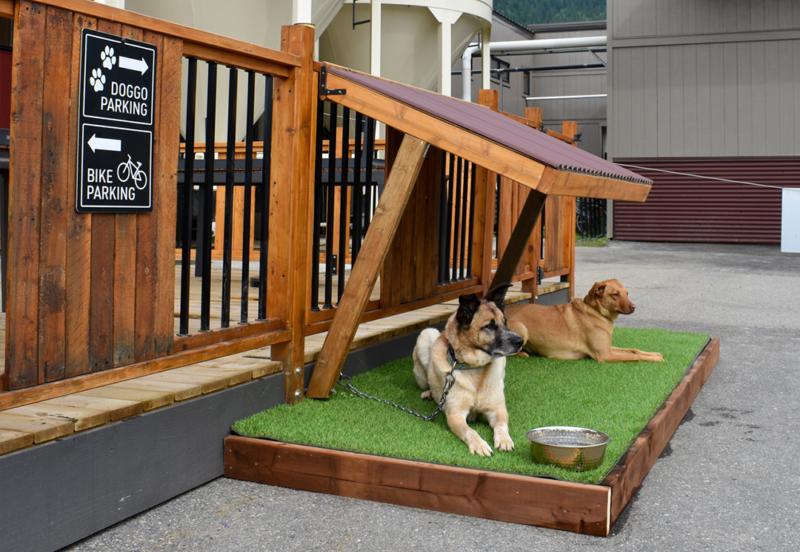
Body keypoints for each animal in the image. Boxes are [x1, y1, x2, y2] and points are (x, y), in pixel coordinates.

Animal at [412, 284, 524, 458]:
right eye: (489, 326)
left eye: (505, 322)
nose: (521, 341)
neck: (474, 368)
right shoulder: (455, 415)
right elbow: (470, 431)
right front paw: (479, 444)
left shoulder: (498, 410)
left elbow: (501, 425)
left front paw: (504, 440)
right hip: (426, 335)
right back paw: (428, 393)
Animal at [510, 278, 664, 364]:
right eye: (615, 294)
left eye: (627, 293)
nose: (633, 307)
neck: (596, 312)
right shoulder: (605, 355)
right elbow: (633, 356)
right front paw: (654, 359)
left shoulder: (608, 348)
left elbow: (633, 350)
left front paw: (654, 354)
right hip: (521, 327)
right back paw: (522, 353)